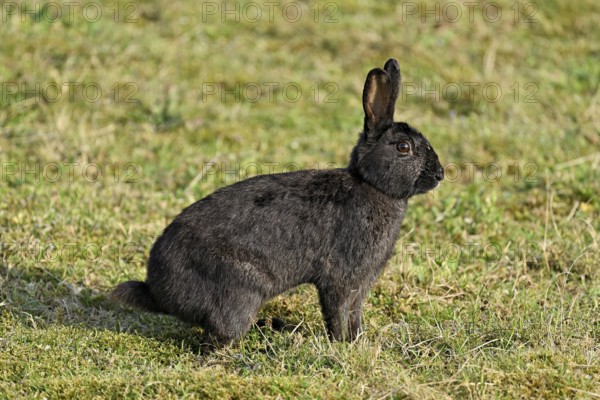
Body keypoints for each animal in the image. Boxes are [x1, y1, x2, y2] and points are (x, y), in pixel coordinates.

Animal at [112, 57, 442, 346]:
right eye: (403, 147)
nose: (440, 174)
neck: (372, 185)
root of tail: (158, 292)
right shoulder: (340, 278)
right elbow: (338, 311)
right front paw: (343, 344)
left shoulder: (359, 285)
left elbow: (354, 314)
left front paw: (357, 342)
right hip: (240, 291)